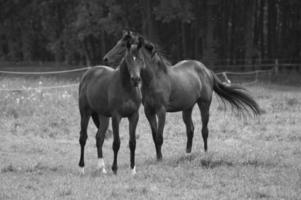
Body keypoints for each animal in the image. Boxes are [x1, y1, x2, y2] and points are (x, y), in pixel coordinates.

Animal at [78, 32, 145, 174]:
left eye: (141, 59)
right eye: (129, 59)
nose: (136, 79)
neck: (126, 88)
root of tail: (88, 73)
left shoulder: (134, 116)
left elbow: (132, 143)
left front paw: (133, 170)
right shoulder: (116, 116)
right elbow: (116, 143)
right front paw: (115, 169)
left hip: (103, 116)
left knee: (99, 137)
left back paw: (102, 168)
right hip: (85, 113)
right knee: (83, 138)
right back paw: (82, 167)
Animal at [102, 32, 258, 162]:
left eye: (123, 46)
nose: (105, 59)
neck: (154, 79)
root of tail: (206, 70)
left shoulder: (161, 111)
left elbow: (159, 136)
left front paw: (160, 159)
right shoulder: (148, 112)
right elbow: (154, 135)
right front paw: (158, 156)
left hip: (204, 104)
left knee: (204, 130)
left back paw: (205, 153)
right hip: (187, 108)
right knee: (190, 129)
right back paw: (187, 153)